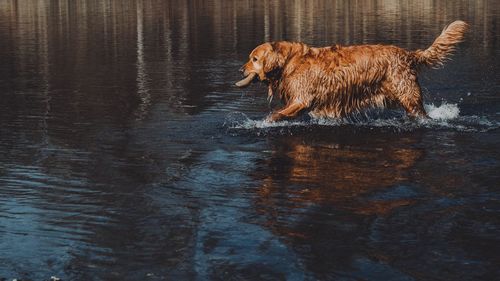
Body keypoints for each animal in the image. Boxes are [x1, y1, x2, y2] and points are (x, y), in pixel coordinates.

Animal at [236, 19, 466, 120]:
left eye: (254, 59)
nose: (240, 70)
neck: (288, 62)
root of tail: (407, 54)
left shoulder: (301, 99)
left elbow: (276, 115)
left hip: (408, 95)